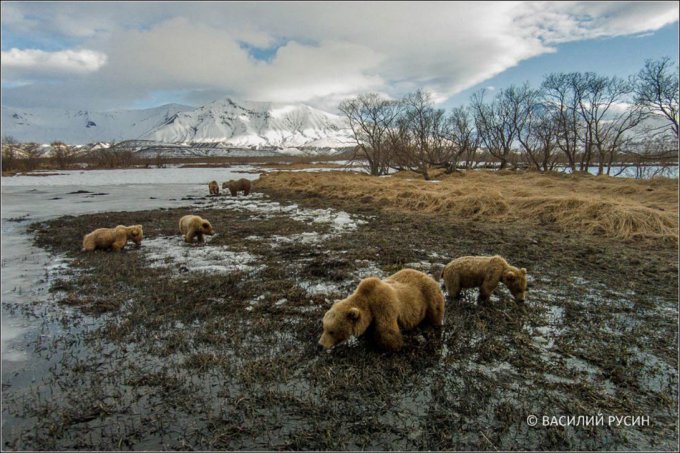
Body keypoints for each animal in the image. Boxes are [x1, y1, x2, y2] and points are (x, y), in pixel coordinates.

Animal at [318, 266, 446, 352]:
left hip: (430, 297)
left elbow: (388, 332)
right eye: (324, 327)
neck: (368, 303)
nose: (320, 345)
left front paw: (391, 346)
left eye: (332, 331)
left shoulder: (384, 307)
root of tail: (429, 276)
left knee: (435, 313)